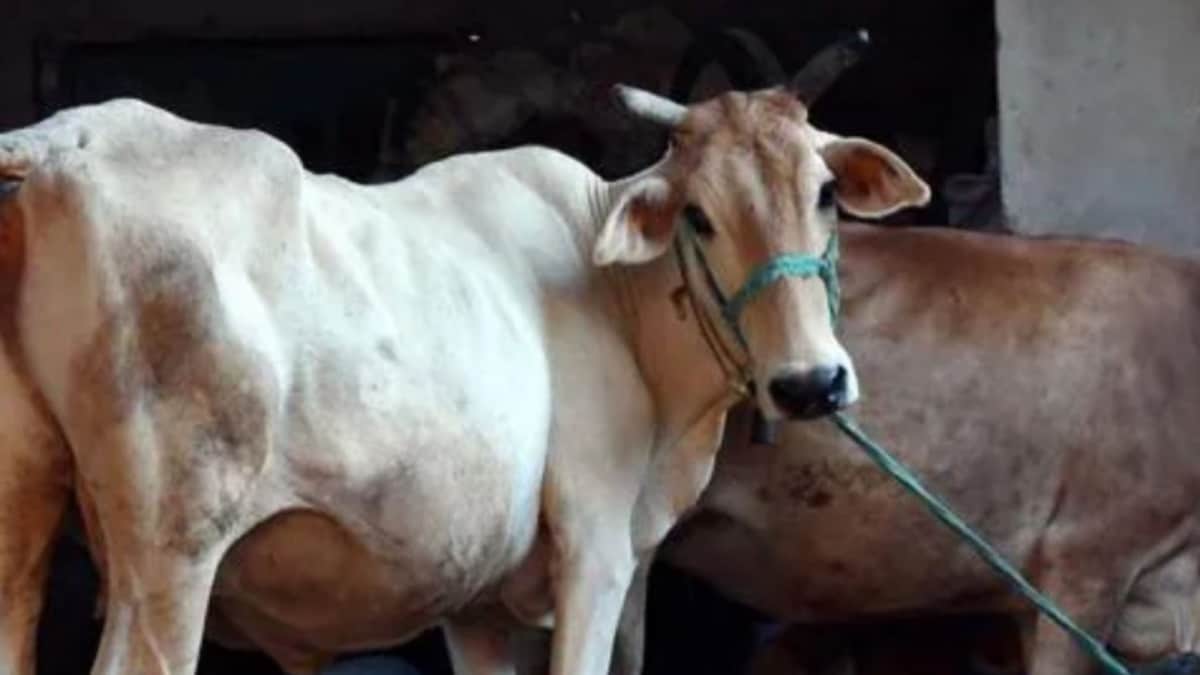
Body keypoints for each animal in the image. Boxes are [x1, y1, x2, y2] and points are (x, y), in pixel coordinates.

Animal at [0, 78, 928, 675]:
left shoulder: (478, 602)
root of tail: (54, 146)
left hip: (23, 526)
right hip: (171, 557)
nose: (812, 382)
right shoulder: (596, 549)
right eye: (698, 215)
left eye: (825, 194)